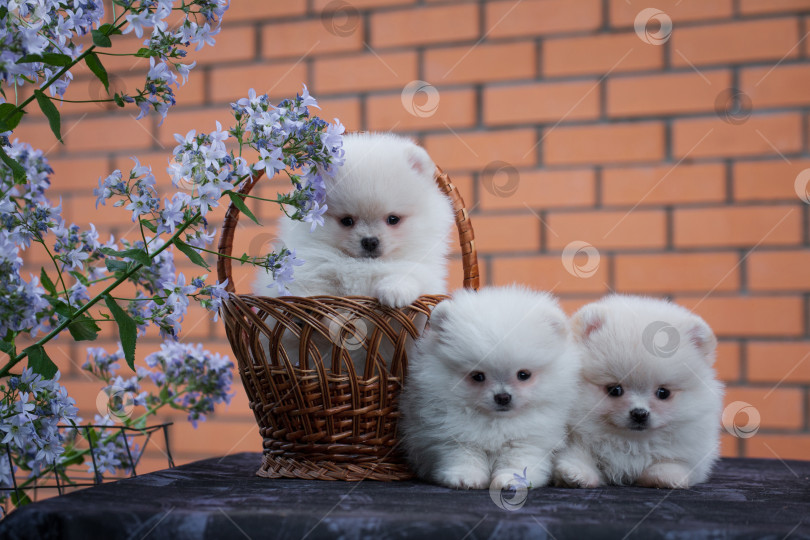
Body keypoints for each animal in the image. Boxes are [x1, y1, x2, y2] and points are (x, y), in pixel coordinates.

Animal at [252, 131, 454, 308]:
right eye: (347, 221)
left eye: (393, 219)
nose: (370, 241)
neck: (363, 265)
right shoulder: (312, 271)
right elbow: (310, 292)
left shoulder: (424, 270)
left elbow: (408, 274)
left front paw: (395, 292)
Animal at [400, 286, 580, 490]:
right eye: (478, 376)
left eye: (523, 374)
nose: (503, 397)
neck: (496, 421)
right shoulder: (454, 436)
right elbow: (464, 456)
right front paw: (466, 478)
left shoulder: (527, 441)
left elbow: (516, 460)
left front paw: (511, 479)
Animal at [552, 296, 724, 490]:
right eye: (615, 389)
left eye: (663, 393)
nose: (639, 413)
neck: (632, 442)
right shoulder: (575, 440)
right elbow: (578, 454)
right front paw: (576, 473)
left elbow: (674, 462)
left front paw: (665, 476)